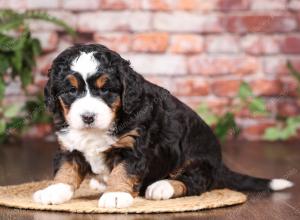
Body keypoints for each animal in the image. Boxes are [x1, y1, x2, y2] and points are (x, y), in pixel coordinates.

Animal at [32, 44, 292, 208]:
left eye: (105, 90)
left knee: (194, 182)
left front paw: (115, 194)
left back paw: (162, 187)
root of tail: (220, 164)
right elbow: (66, 171)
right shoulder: (70, 147)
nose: (87, 117)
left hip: (195, 159)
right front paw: (54, 191)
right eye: (71, 90)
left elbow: (123, 171)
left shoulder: (133, 147)